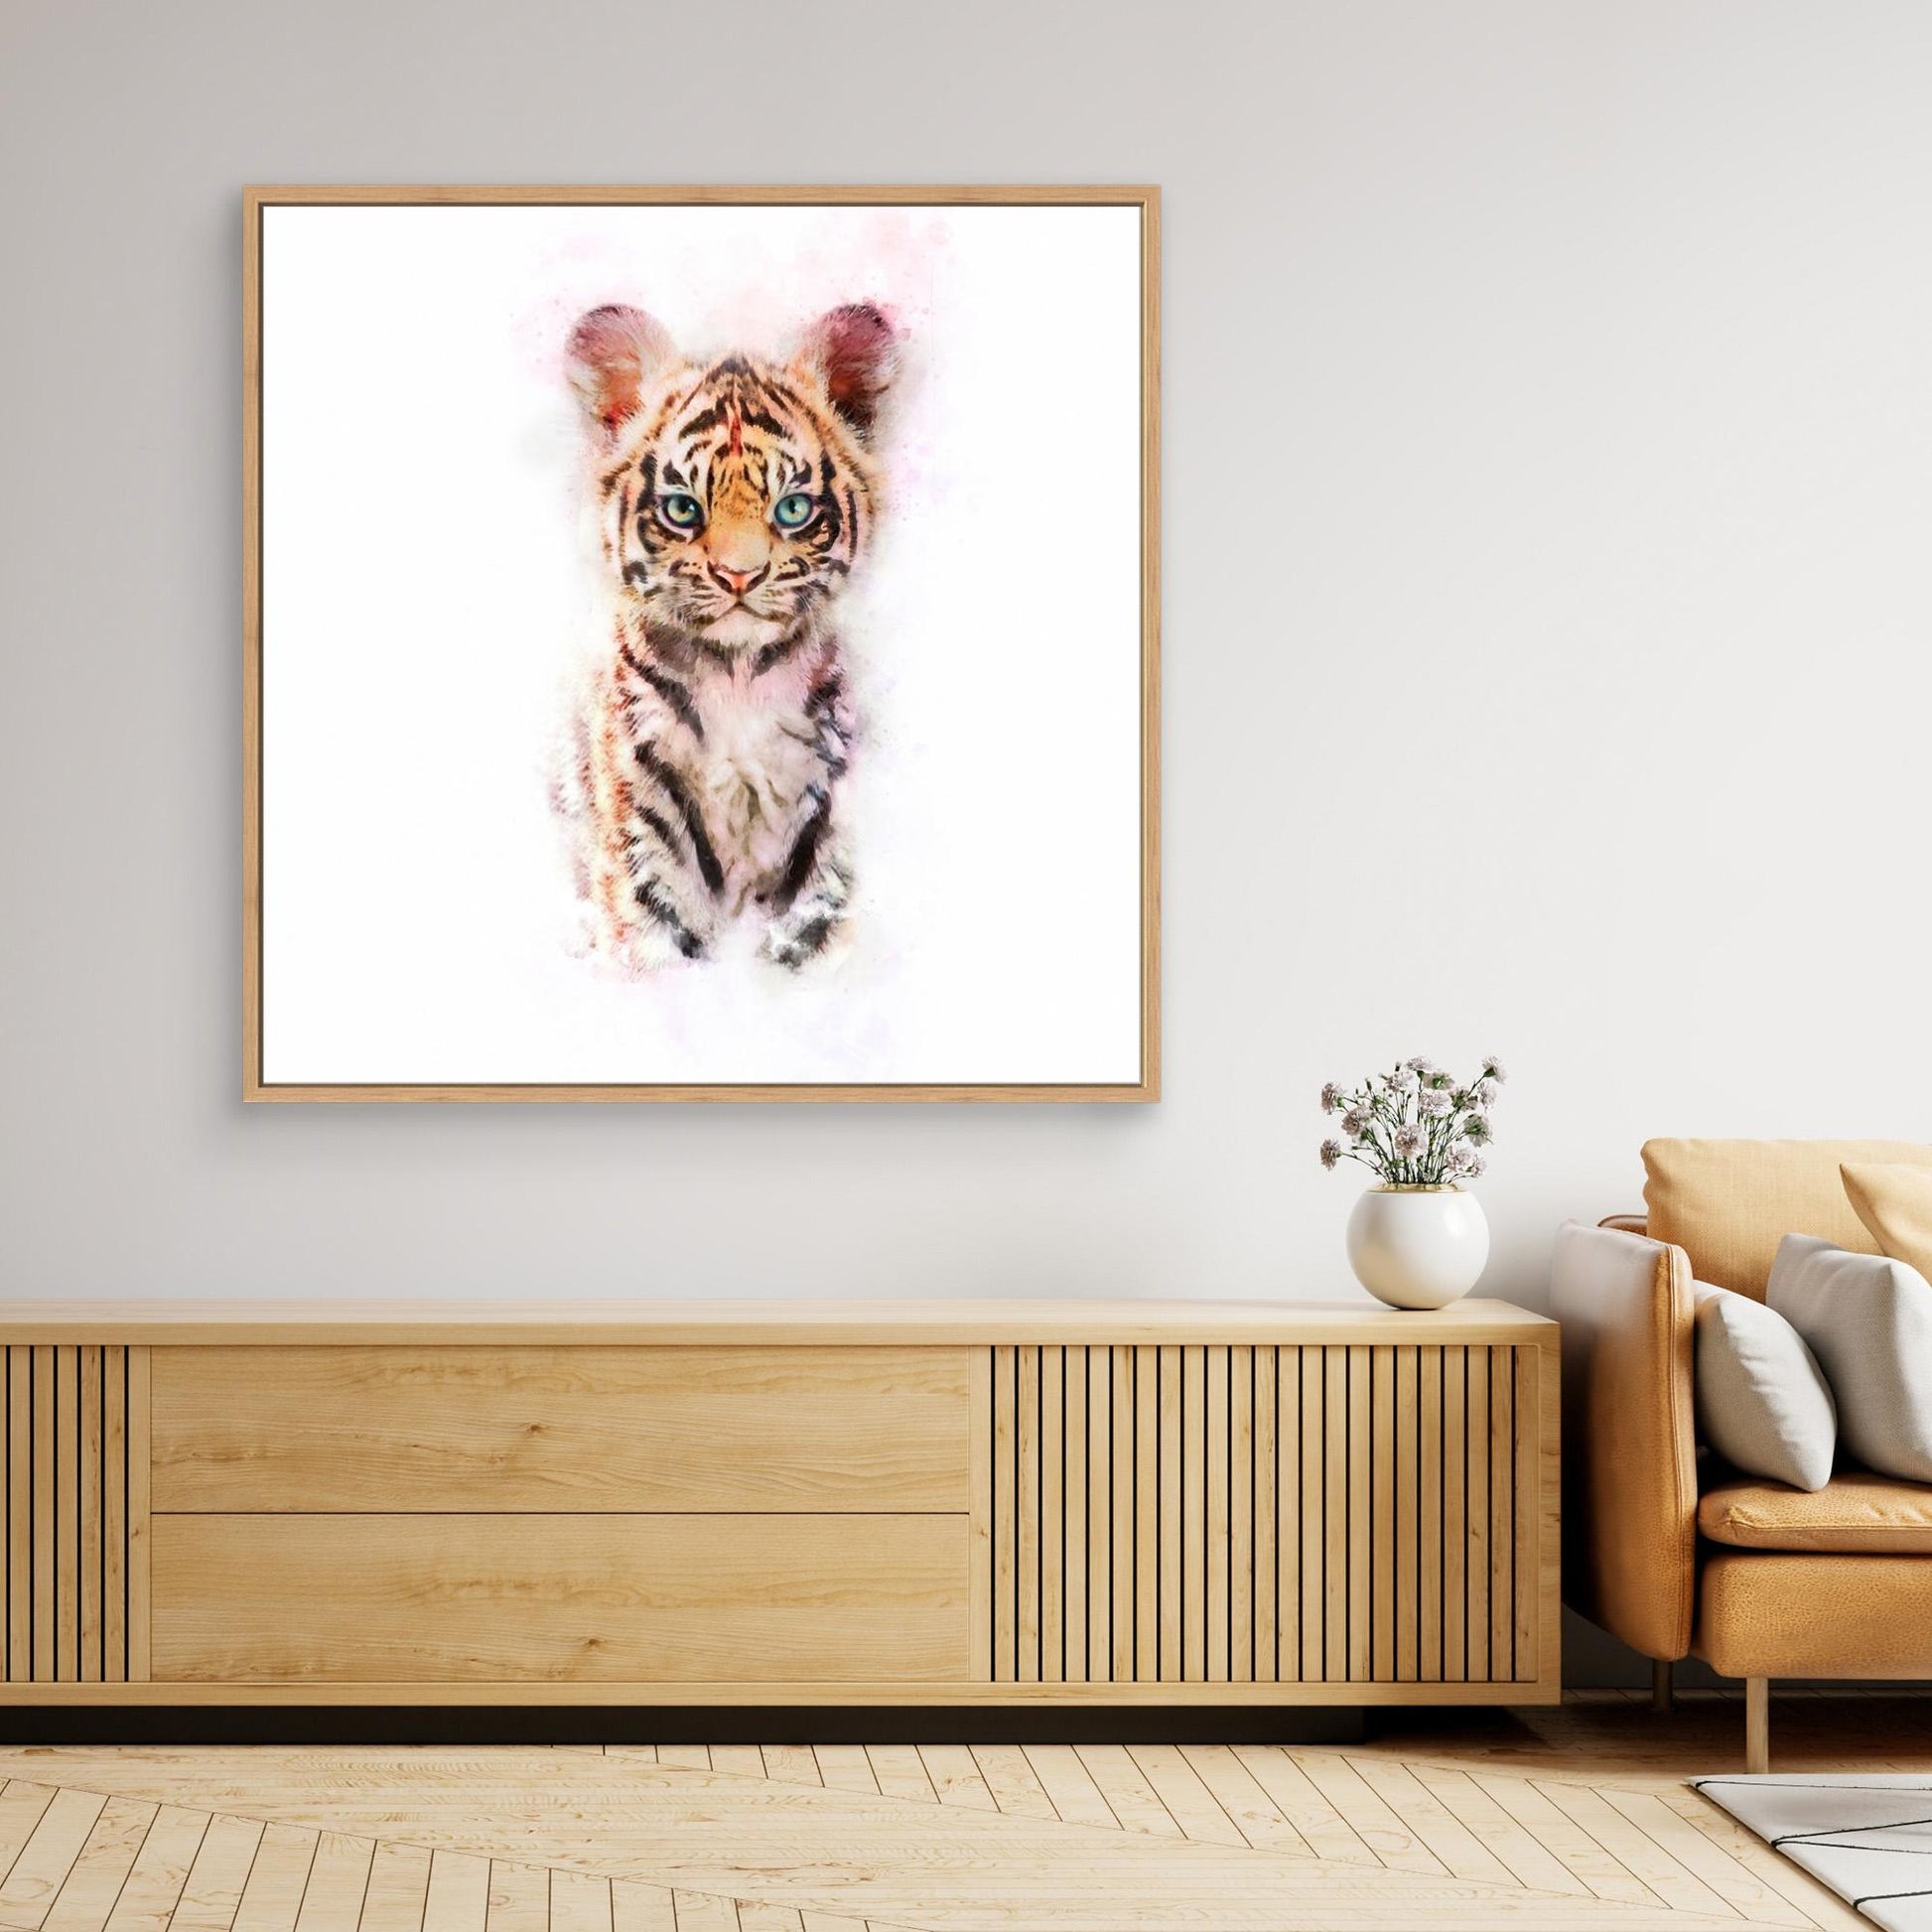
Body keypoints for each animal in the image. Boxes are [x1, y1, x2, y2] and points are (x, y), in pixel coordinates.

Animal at [557, 299, 897, 972]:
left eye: (792, 509)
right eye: (683, 509)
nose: (739, 574)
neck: (739, 681)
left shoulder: (827, 827)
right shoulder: (644, 830)